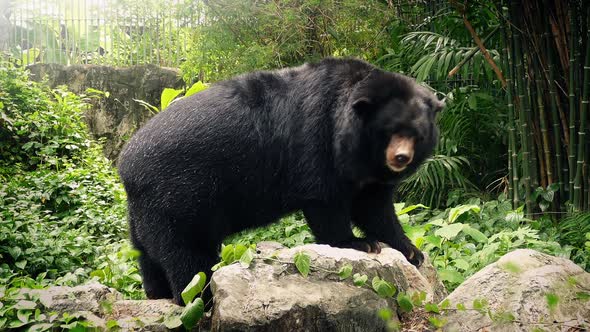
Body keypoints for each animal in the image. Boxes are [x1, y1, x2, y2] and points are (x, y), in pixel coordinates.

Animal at [119, 57, 444, 304]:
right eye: (389, 130)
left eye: (416, 133)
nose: (400, 158)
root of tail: (126, 164)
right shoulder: (317, 140)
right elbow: (325, 202)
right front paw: (358, 243)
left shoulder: (369, 175)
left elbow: (375, 208)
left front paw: (411, 251)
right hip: (179, 198)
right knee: (188, 259)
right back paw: (200, 299)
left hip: (146, 212)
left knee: (148, 256)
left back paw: (158, 294)